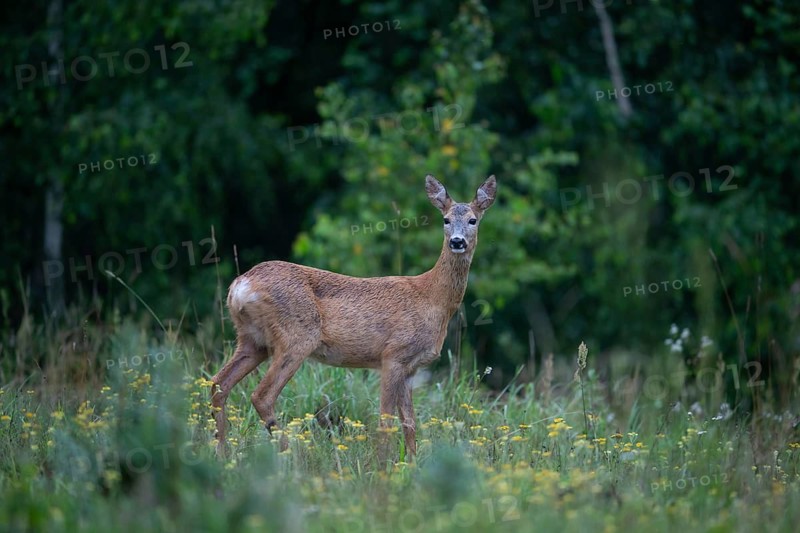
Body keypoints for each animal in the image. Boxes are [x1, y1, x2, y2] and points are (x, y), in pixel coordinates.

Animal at [210, 174, 496, 459]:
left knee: (218, 384)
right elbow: (385, 422)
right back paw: (291, 456)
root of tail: (239, 286)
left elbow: (410, 424)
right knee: (261, 395)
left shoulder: (411, 367)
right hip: (297, 336)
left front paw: (411, 464)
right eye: (445, 219)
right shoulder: (393, 354)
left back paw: (223, 454)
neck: (432, 298)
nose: (457, 241)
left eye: (473, 220)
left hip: (253, 340)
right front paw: (385, 467)